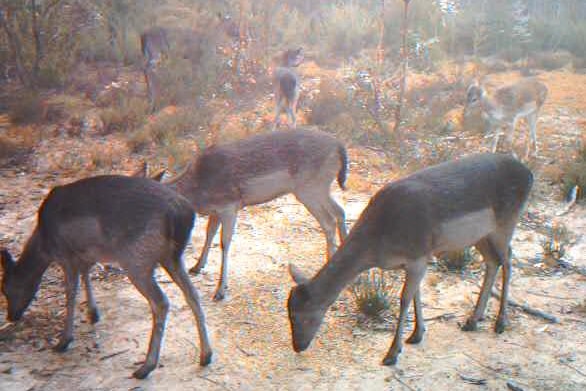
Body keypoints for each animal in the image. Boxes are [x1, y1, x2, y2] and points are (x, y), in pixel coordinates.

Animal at [0, 176, 213, 378]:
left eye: (6, 289)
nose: (11, 316)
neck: (45, 245)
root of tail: (182, 215)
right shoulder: (86, 255)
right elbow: (86, 275)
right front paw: (93, 313)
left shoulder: (65, 255)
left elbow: (71, 293)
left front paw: (64, 340)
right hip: (172, 257)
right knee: (192, 294)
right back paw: (206, 355)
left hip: (137, 260)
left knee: (161, 302)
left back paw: (146, 367)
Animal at [154, 130, 346, 302]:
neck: (198, 188)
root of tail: (339, 145)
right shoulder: (215, 212)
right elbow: (210, 234)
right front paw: (196, 267)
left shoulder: (230, 206)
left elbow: (224, 243)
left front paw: (220, 291)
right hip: (320, 189)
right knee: (340, 211)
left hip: (310, 189)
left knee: (328, 221)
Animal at [286, 154, 532, 368]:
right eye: (288, 311)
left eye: (302, 316)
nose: (298, 346)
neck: (378, 244)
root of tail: (529, 173)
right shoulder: (415, 261)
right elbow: (416, 294)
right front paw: (416, 335)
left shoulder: (419, 255)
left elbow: (404, 299)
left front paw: (392, 354)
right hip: (481, 236)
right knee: (493, 261)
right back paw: (473, 320)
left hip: (506, 223)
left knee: (508, 259)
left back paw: (500, 323)